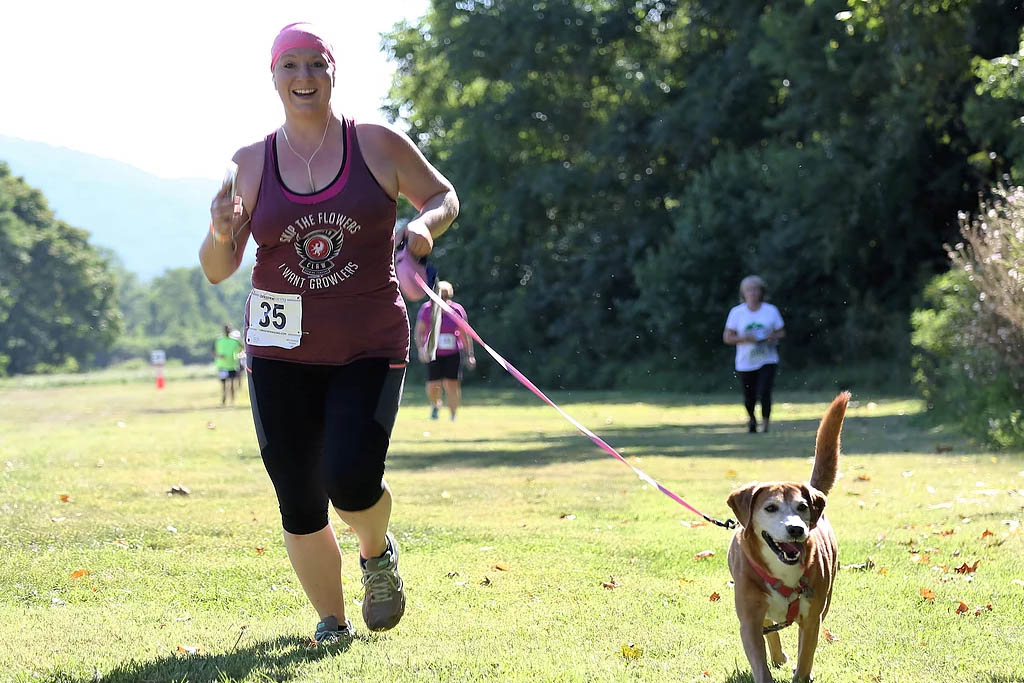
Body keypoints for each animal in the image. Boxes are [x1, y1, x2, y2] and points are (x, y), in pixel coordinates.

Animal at [729, 389, 847, 683]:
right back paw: (778, 656)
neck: (782, 570)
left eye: (802, 507)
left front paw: (802, 673)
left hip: (825, 598)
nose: (796, 529)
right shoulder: (749, 617)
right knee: (770, 629)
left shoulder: (812, 615)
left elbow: (806, 656)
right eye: (770, 508)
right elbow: (759, 658)